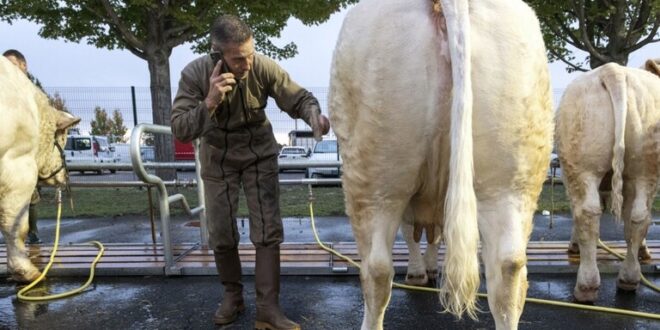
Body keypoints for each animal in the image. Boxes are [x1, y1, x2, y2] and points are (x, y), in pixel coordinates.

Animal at [330, 1, 552, 328]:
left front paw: (419, 272)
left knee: (377, 269)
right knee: (508, 268)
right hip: (511, 176)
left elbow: (411, 231)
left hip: (375, 175)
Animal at [556, 60, 660, 302]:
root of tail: (614, 71)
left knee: (587, 213)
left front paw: (574, 246)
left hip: (582, 166)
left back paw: (586, 286)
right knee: (639, 217)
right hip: (644, 168)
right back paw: (628, 279)